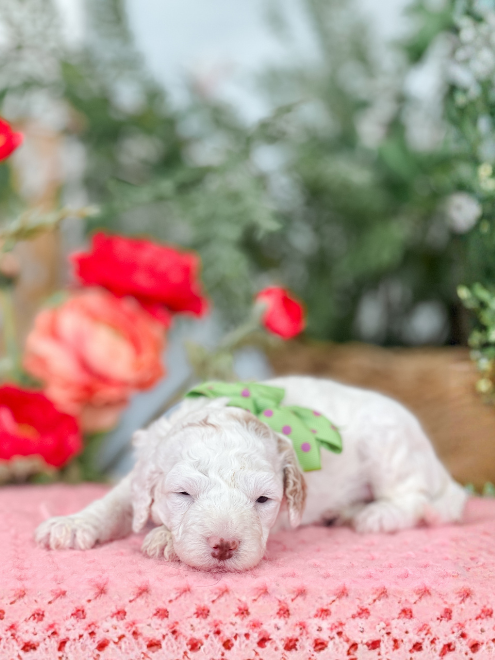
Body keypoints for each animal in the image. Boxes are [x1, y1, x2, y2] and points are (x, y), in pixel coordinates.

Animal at [35, 376, 467, 571]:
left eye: (262, 500)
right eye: (183, 494)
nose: (224, 545)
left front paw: (162, 539)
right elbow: (119, 499)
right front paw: (73, 524)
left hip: (390, 449)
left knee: (415, 498)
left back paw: (374, 514)